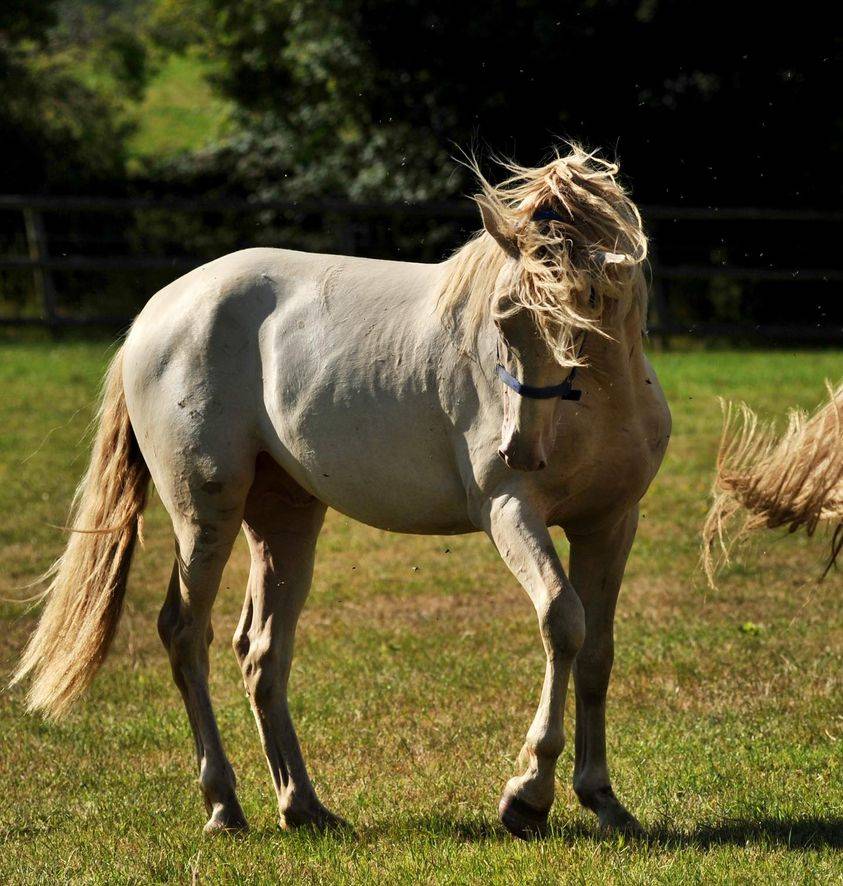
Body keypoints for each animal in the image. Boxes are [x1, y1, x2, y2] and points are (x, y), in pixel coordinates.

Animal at [12, 145, 671, 839]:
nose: (517, 448)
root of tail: (155, 314)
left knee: (261, 652)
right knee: (186, 633)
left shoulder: (610, 523)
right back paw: (223, 805)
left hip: (286, 518)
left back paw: (302, 805)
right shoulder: (509, 511)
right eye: (504, 317)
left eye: (586, 307)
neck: (596, 405)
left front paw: (603, 798)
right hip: (206, 514)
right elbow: (562, 622)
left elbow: (596, 651)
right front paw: (528, 796)